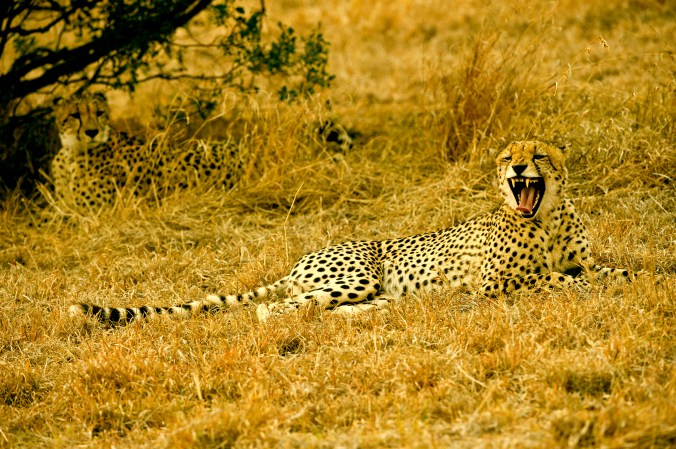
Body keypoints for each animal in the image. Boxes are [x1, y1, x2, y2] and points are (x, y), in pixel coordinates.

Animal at [68, 140, 634, 325]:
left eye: (538, 154)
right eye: (507, 157)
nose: (518, 169)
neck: (545, 215)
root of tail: (299, 261)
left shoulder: (580, 257)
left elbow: (607, 268)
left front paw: (631, 276)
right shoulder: (494, 283)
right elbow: (552, 279)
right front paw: (586, 285)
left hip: (363, 289)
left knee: (327, 308)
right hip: (354, 276)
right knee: (275, 309)